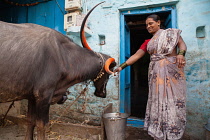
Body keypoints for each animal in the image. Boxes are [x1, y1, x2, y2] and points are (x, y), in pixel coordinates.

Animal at [0, 1, 115, 139]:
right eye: (108, 75)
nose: (102, 93)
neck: (63, 55)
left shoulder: (32, 97)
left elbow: (30, 121)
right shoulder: (43, 95)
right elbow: (42, 125)